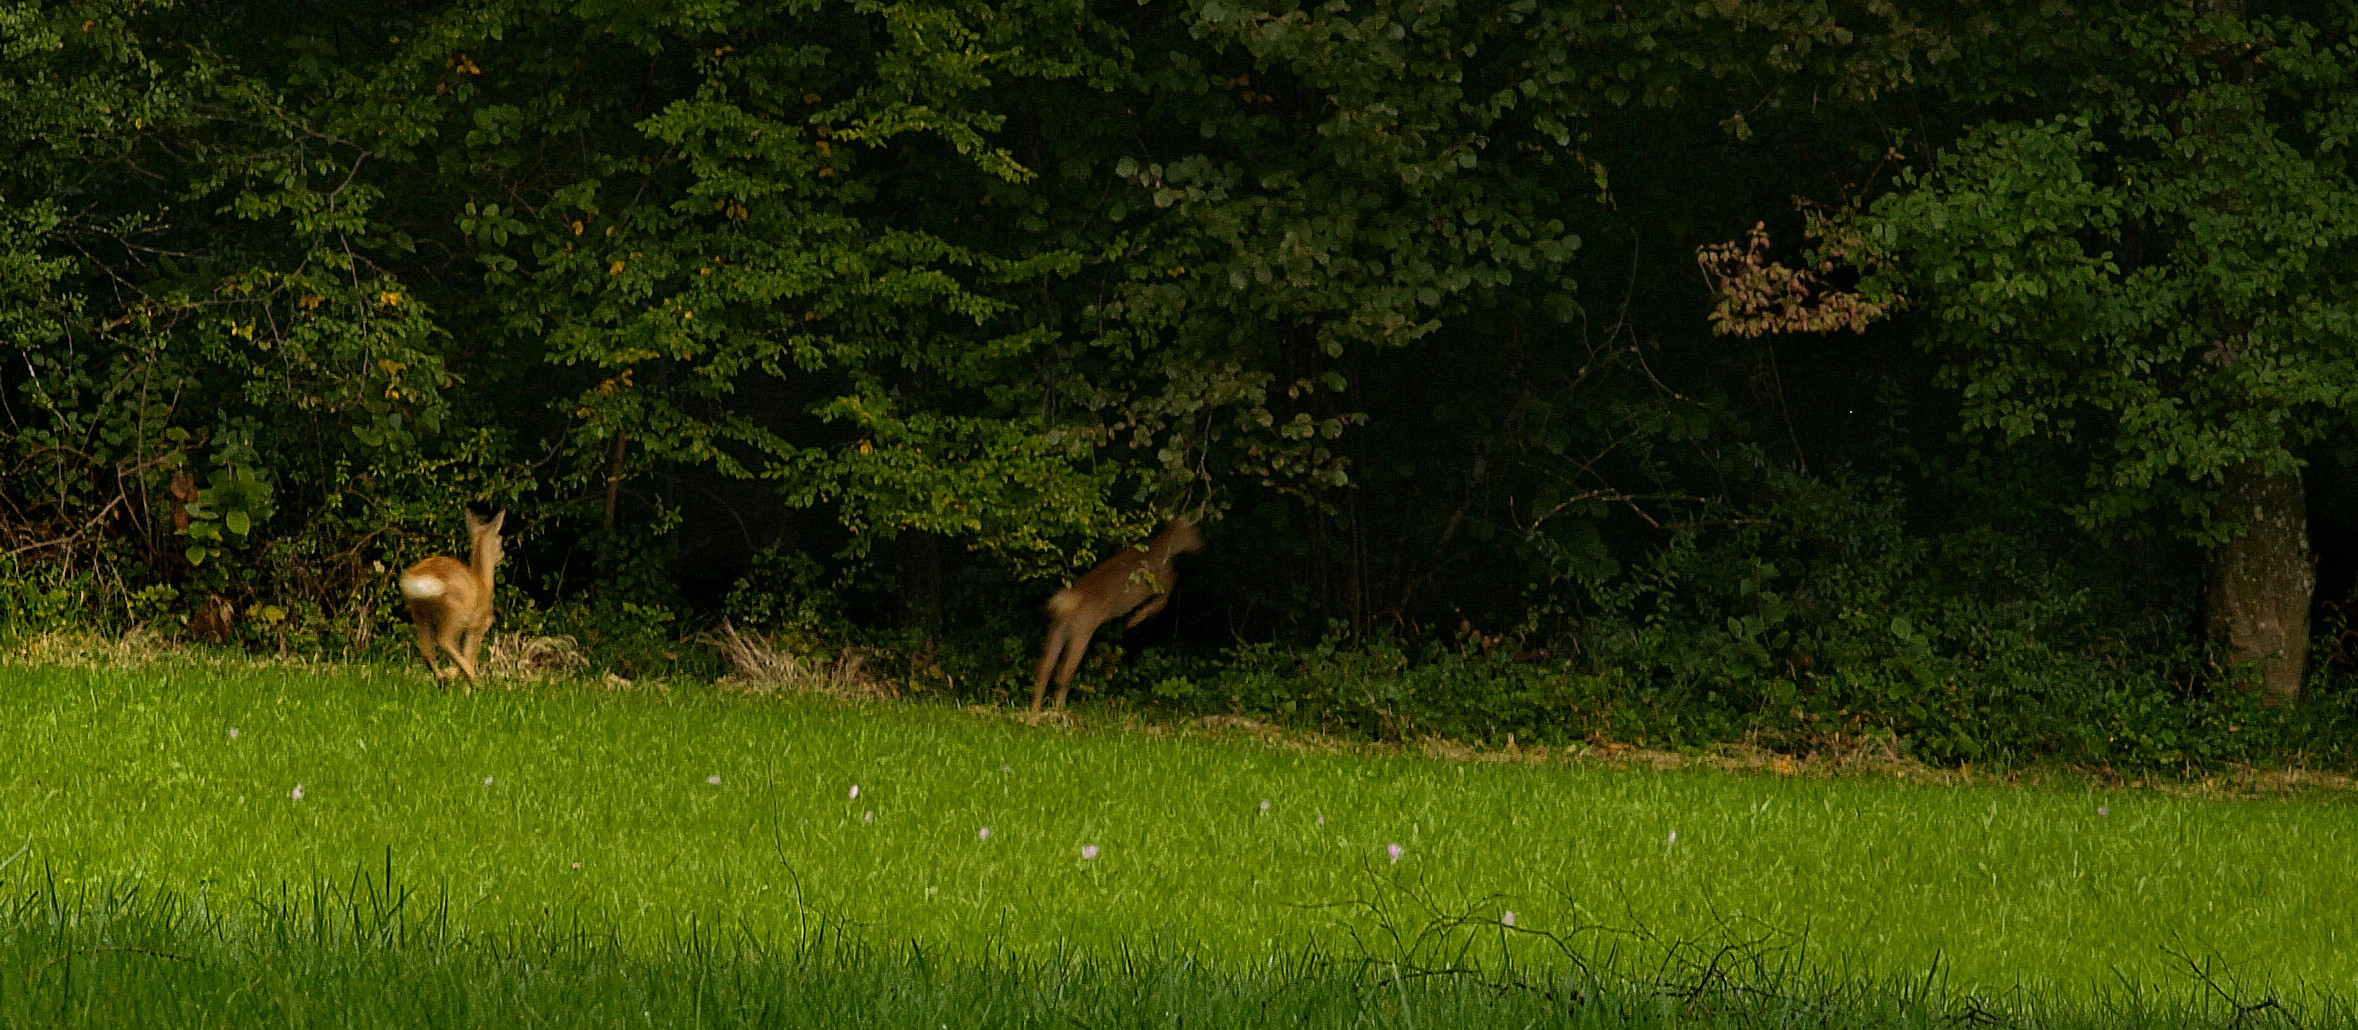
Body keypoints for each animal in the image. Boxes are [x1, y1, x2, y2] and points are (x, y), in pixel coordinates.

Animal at [400, 506, 506, 688]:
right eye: (499, 539)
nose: (503, 553)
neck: (484, 582)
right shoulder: (479, 624)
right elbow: (468, 655)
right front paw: (465, 686)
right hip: (456, 610)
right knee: (444, 641)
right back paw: (473, 680)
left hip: (420, 611)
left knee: (426, 649)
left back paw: (443, 679)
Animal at [1028, 518, 1197, 716]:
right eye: (1195, 531)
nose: (1201, 544)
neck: (1162, 550)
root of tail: (1066, 603)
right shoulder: (1153, 581)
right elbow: (1172, 579)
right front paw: (1135, 620)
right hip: (1082, 630)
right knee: (1063, 672)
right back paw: (1060, 710)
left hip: (1056, 629)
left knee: (1043, 670)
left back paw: (1035, 713)